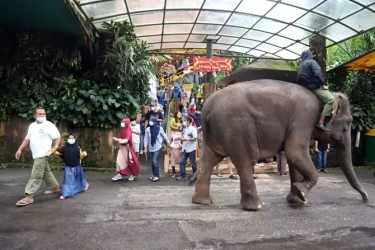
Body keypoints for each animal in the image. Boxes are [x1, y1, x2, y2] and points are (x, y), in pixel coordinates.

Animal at [191, 79, 370, 211]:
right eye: (348, 124)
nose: (365, 199)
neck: (328, 95)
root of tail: (207, 108)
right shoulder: (304, 118)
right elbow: (294, 153)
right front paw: (301, 193)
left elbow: (294, 160)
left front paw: (296, 199)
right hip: (236, 129)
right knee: (246, 162)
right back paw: (256, 206)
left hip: (217, 133)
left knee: (209, 161)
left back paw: (202, 202)